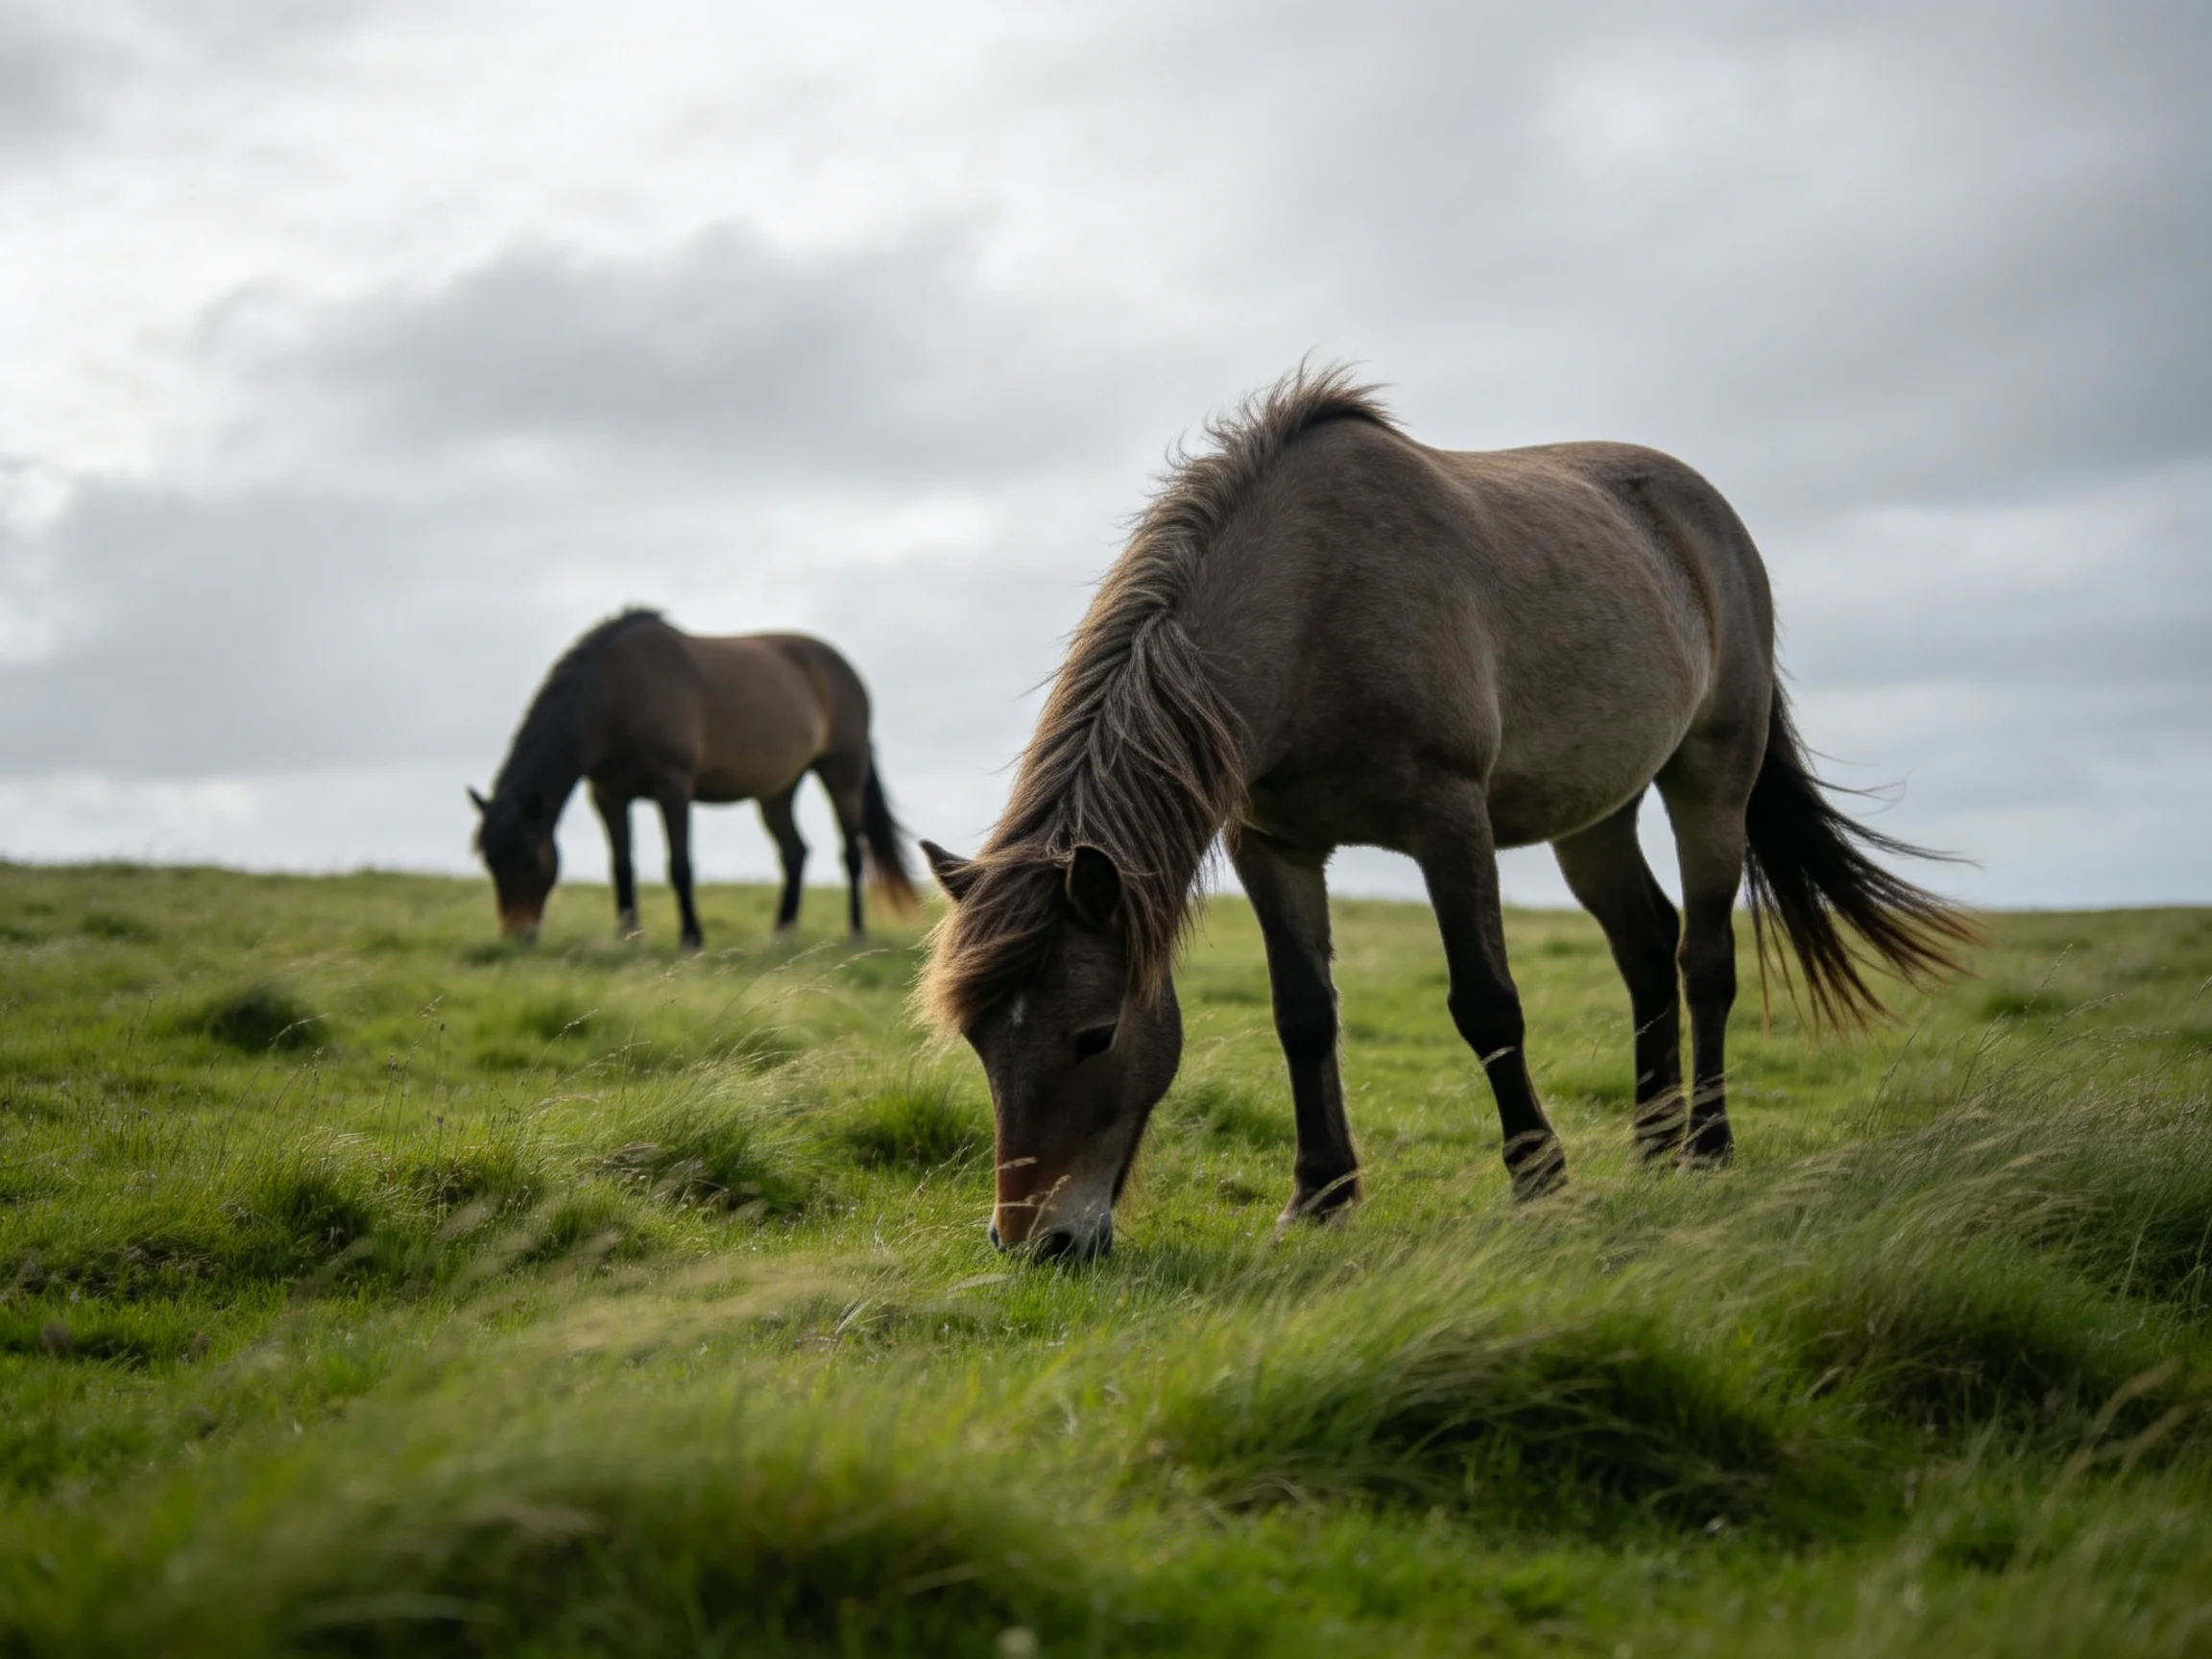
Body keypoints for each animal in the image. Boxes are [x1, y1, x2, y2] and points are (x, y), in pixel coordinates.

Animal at [470, 609, 917, 947]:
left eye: (530, 859)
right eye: (490, 860)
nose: (517, 934)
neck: (619, 693)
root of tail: (846, 670)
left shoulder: (673, 787)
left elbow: (680, 864)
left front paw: (691, 937)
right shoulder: (608, 795)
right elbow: (621, 865)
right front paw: (628, 935)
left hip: (842, 774)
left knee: (852, 853)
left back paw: (856, 932)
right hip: (776, 792)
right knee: (795, 852)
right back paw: (782, 932)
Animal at [918, 367, 1973, 1260]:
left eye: (1094, 1034)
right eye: (978, 1038)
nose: (1035, 1243)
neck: (1314, 600)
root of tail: (1704, 513)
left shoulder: (1449, 821)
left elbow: (1487, 1003)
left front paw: (1539, 1180)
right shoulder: (1272, 844)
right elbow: (1303, 1015)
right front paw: (1319, 1196)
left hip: (1711, 777)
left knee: (1702, 956)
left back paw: (1705, 1147)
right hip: (1594, 815)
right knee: (1644, 945)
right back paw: (1650, 1141)